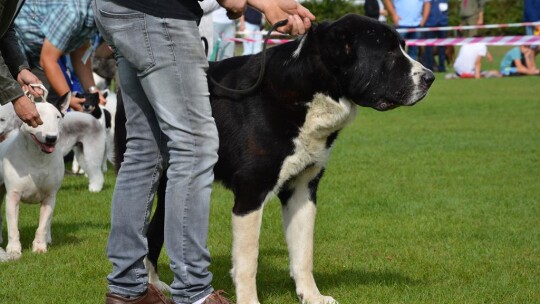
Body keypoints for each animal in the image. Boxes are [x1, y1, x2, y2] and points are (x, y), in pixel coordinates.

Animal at [0, 91, 69, 260]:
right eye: (37, 118)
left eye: (58, 117)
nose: (51, 138)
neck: (38, 157)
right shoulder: (13, 195)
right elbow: (13, 226)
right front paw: (14, 250)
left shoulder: (50, 196)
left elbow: (43, 225)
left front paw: (39, 247)